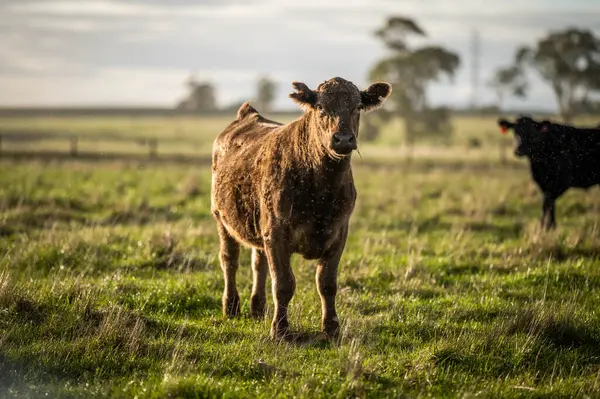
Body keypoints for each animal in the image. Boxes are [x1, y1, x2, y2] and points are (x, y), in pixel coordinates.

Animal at [211, 76, 394, 340]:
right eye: (320, 107)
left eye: (358, 107)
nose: (343, 139)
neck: (321, 192)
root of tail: (249, 115)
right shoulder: (276, 233)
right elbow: (283, 284)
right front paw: (280, 329)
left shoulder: (339, 233)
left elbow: (327, 284)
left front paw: (331, 328)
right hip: (222, 219)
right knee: (229, 260)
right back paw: (231, 307)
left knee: (258, 263)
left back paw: (258, 308)